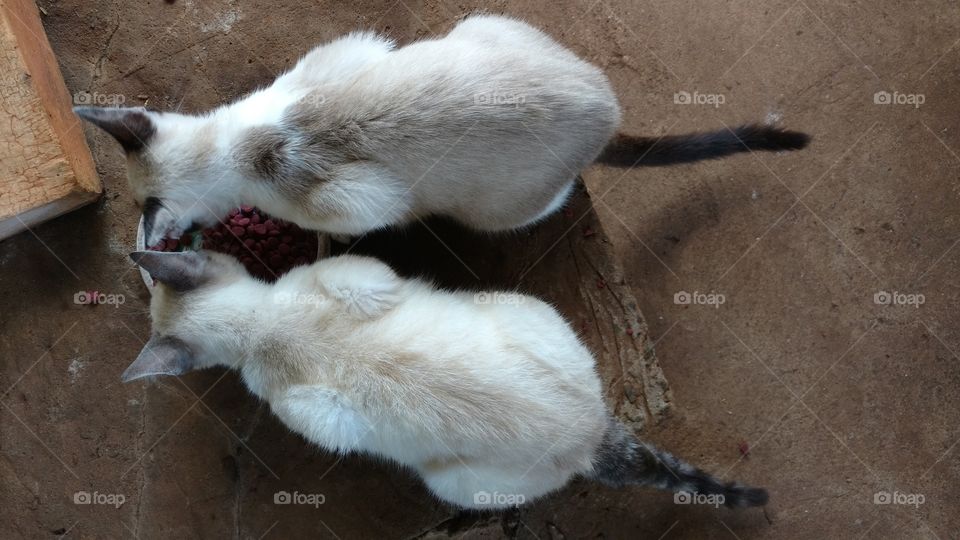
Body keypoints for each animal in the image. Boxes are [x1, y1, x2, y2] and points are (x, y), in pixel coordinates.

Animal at [75, 14, 808, 247]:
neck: (240, 147)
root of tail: (608, 112)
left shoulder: (361, 204)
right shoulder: (352, 51)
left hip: (497, 211)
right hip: (483, 23)